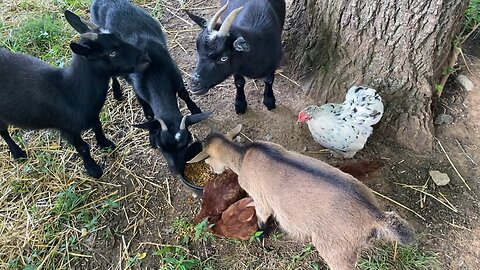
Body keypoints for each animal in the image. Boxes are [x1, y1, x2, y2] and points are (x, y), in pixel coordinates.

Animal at [0, 10, 149, 178]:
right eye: (112, 53)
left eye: (118, 36)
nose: (145, 56)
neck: (70, 91)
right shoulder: (67, 129)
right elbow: (83, 147)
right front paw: (93, 169)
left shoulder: (92, 115)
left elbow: (98, 127)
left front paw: (105, 144)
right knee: (3, 132)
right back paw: (18, 153)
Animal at [90, 0, 210, 174]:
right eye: (160, 147)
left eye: (185, 144)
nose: (175, 170)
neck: (155, 72)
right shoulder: (139, 90)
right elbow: (148, 113)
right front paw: (151, 137)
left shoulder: (175, 75)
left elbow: (183, 94)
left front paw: (195, 109)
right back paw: (117, 92)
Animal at [189, 125, 414, 270]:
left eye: (207, 161)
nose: (213, 173)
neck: (243, 157)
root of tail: (375, 216)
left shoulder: (261, 199)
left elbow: (262, 218)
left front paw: (261, 237)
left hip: (337, 250)